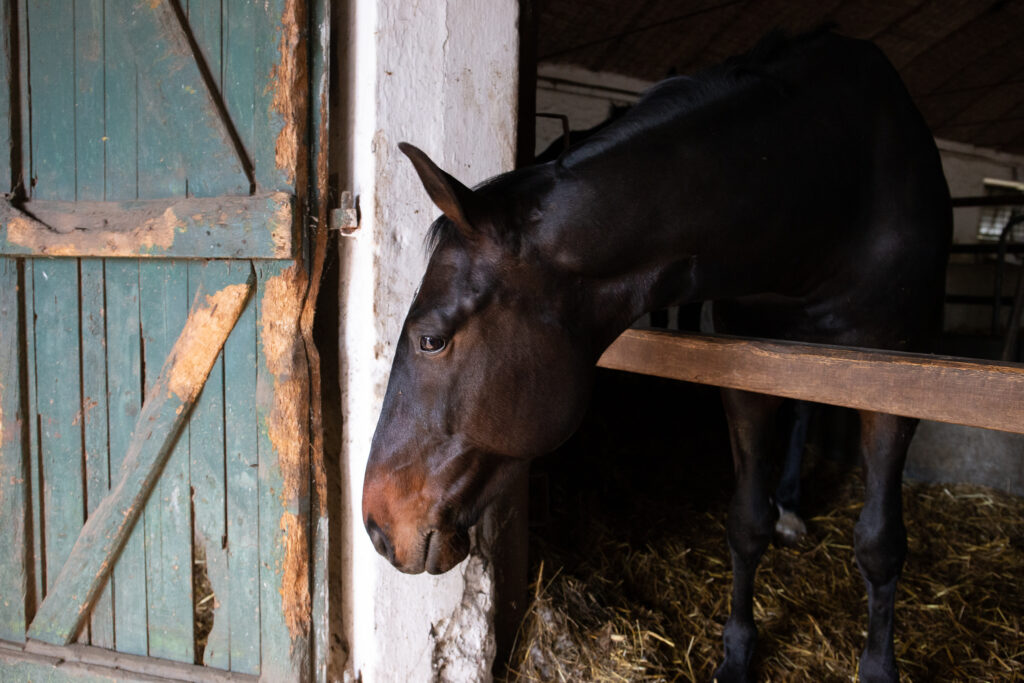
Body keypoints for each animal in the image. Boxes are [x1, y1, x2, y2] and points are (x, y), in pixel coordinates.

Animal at [362, 30, 951, 682]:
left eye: (431, 339)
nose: (377, 527)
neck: (829, 190)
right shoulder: (751, 373)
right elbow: (747, 521)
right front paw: (737, 654)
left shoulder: (900, 385)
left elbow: (879, 543)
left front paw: (876, 666)